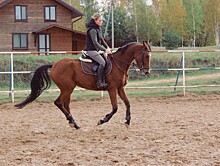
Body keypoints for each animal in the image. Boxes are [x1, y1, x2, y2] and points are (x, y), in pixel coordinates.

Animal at [15, 41, 151, 130]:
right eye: (146, 55)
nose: (147, 72)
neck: (118, 63)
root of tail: (54, 64)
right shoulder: (112, 89)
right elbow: (115, 108)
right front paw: (102, 120)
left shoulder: (120, 88)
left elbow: (128, 103)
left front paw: (127, 121)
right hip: (67, 88)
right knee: (58, 103)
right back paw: (72, 121)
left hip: (68, 90)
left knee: (65, 104)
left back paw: (73, 123)